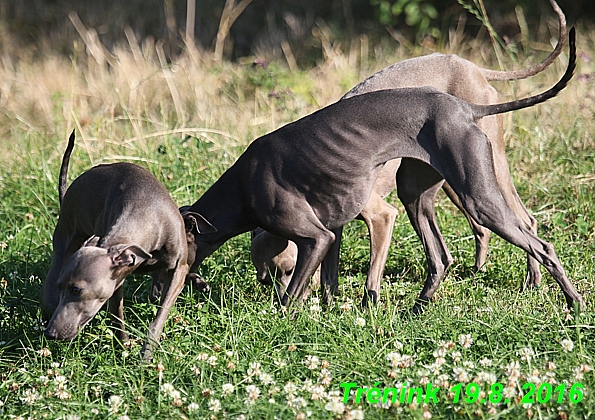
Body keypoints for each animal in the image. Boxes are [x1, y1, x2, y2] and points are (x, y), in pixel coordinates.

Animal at [40, 134, 212, 358]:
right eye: (63, 286)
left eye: (77, 290)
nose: (51, 333)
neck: (146, 210)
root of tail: (68, 190)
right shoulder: (116, 280)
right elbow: (117, 316)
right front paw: (124, 347)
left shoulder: (177, 269)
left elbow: (160, 314)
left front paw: (146, 354)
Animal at [184, 27, 584, 312]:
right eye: (266, 279)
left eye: (284, 271)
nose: (186, 279)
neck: (244, 184)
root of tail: (467, 108)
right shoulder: (334, 230)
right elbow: (329, 281)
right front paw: (330, 312)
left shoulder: (335, 231)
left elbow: (334, 283)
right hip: (421, 191)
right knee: (442, 256)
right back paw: (420, 306)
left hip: (480, 193)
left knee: (538, 241)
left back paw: (572, 301)